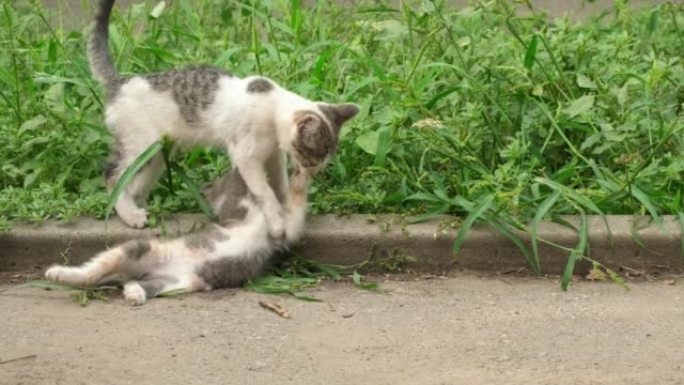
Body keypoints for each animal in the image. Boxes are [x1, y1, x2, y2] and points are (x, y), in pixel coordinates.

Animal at [93, 0, 360, 237]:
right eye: (313, 155)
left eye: (323, 157)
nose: (316, 170)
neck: (272, 111)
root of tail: (120, 82)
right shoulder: (245, 156)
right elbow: (265, 192)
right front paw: (276, 224)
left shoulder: (273, 155)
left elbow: (278, 185)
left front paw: (286, 207)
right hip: (142, 146)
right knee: (113, 176)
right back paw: (130, 215)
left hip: (156, 155)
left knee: (133, 183)